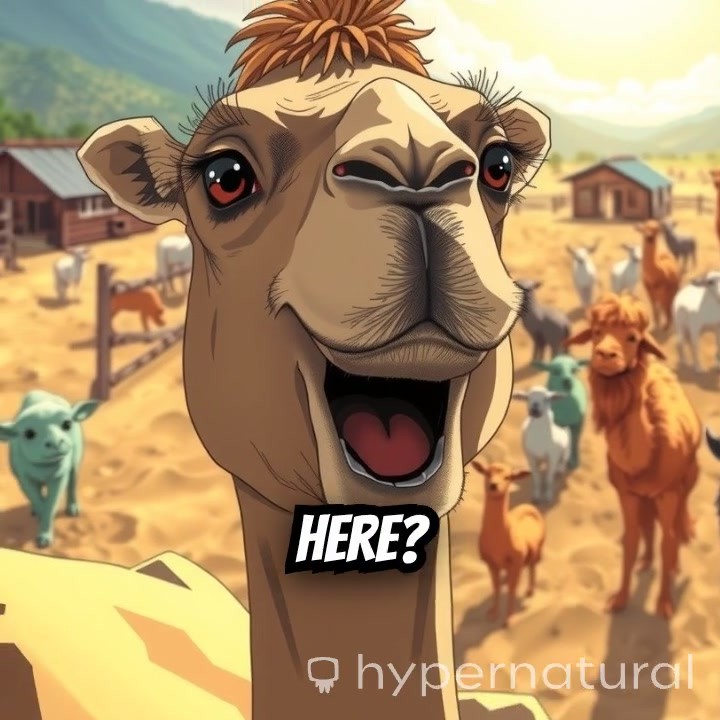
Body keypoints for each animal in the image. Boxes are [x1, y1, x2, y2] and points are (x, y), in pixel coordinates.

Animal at [0, 390, 101, 548]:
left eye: (67, 424)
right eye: (29, 434)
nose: (55, 443)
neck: (44, 467)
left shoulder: (59, 477)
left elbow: (51, 504)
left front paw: (44, 537)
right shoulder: (24, 479)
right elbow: (38, 500)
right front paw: (42, 532)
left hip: (76, 458)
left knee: (72, 482)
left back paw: (73, 509)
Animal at [471, 458, 545, 628]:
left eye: (509, 477)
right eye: (487, 472)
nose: (493, 485)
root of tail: (528, 507)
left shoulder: (516, 563)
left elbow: (512, 589)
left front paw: (509, 619)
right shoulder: (491, 564)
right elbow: (496, 588)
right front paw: (492, 614)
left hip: (538, 551)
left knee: (532, 567)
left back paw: (530, 591)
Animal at [565, 293, 700, 618]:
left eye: (633, 337)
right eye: (596, 332)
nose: (605, 355)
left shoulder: (668, 493)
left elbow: (668, 539)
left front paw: (665, 604)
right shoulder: (627, 493)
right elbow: (630, 539)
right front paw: (620, 599)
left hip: (690, 474)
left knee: (678, 517)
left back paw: (680, 549)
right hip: (646, 496)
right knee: (649, 525)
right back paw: (647, 561)